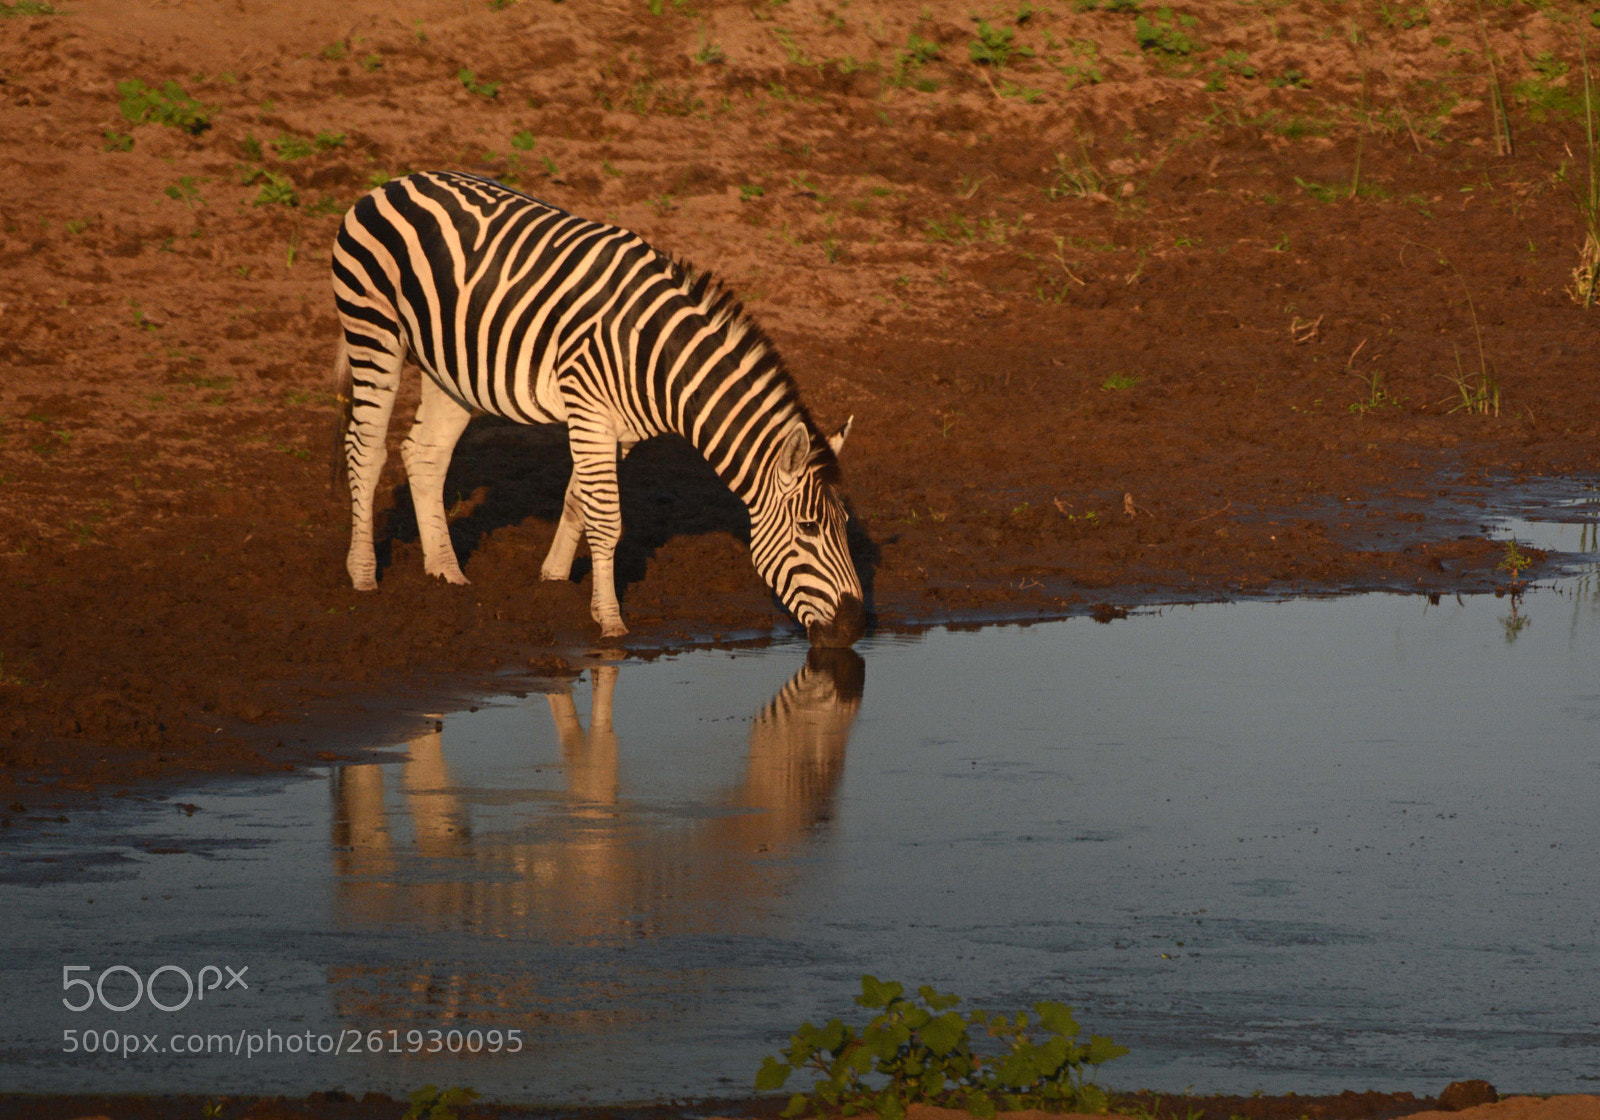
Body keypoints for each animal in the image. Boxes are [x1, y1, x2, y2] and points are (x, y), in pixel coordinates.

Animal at [331, 171, 865, 647]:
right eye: (809, 529)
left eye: (844, 527)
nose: (856, 629)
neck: (657, 356)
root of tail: (393, 183)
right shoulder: (589, 410)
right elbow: (607, 522)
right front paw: (609, 620)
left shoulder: (617, 429)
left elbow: (579, 502)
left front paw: (552, 578)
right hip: (373, 329)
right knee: (365, 449)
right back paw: (363, 575)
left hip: (452, 368)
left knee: (425, 455)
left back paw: (445, 573)